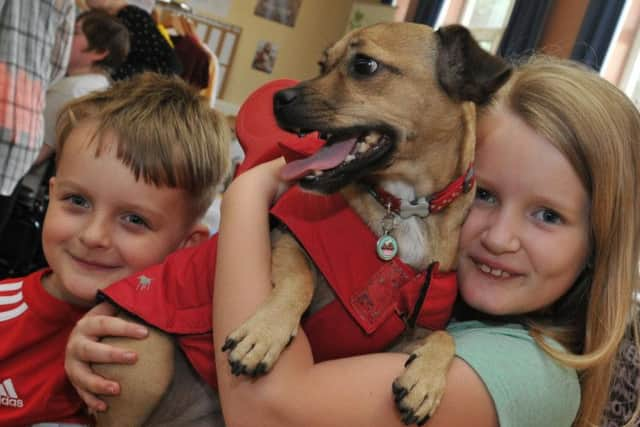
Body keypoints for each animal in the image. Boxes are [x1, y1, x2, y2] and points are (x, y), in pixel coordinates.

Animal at [91, 23, 510, 427]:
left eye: (364, 65)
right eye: (323, 63)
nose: (279, 99)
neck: (407, 209)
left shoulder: (394, 338)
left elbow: (444, 337)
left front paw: (426, 381)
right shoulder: (289, 238)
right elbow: (300, 280)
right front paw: (265, 333)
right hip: (146, 355)